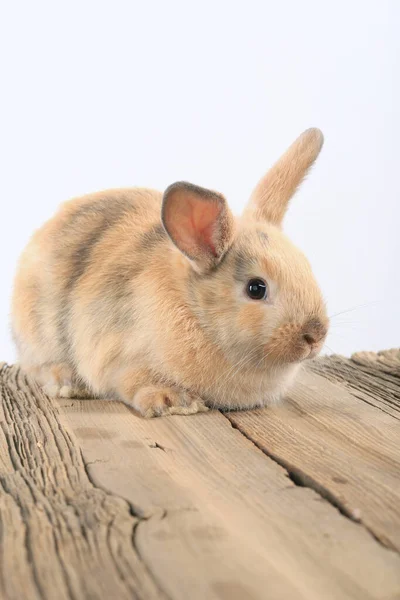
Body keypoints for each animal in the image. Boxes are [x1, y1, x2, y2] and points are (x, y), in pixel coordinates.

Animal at [11, 126, 328, 418]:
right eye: (256, 288)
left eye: (306, 266)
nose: (315, 336)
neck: (194, 311)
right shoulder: (119, 357)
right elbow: (133, 380)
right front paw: (175, 402)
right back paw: (68, 383)